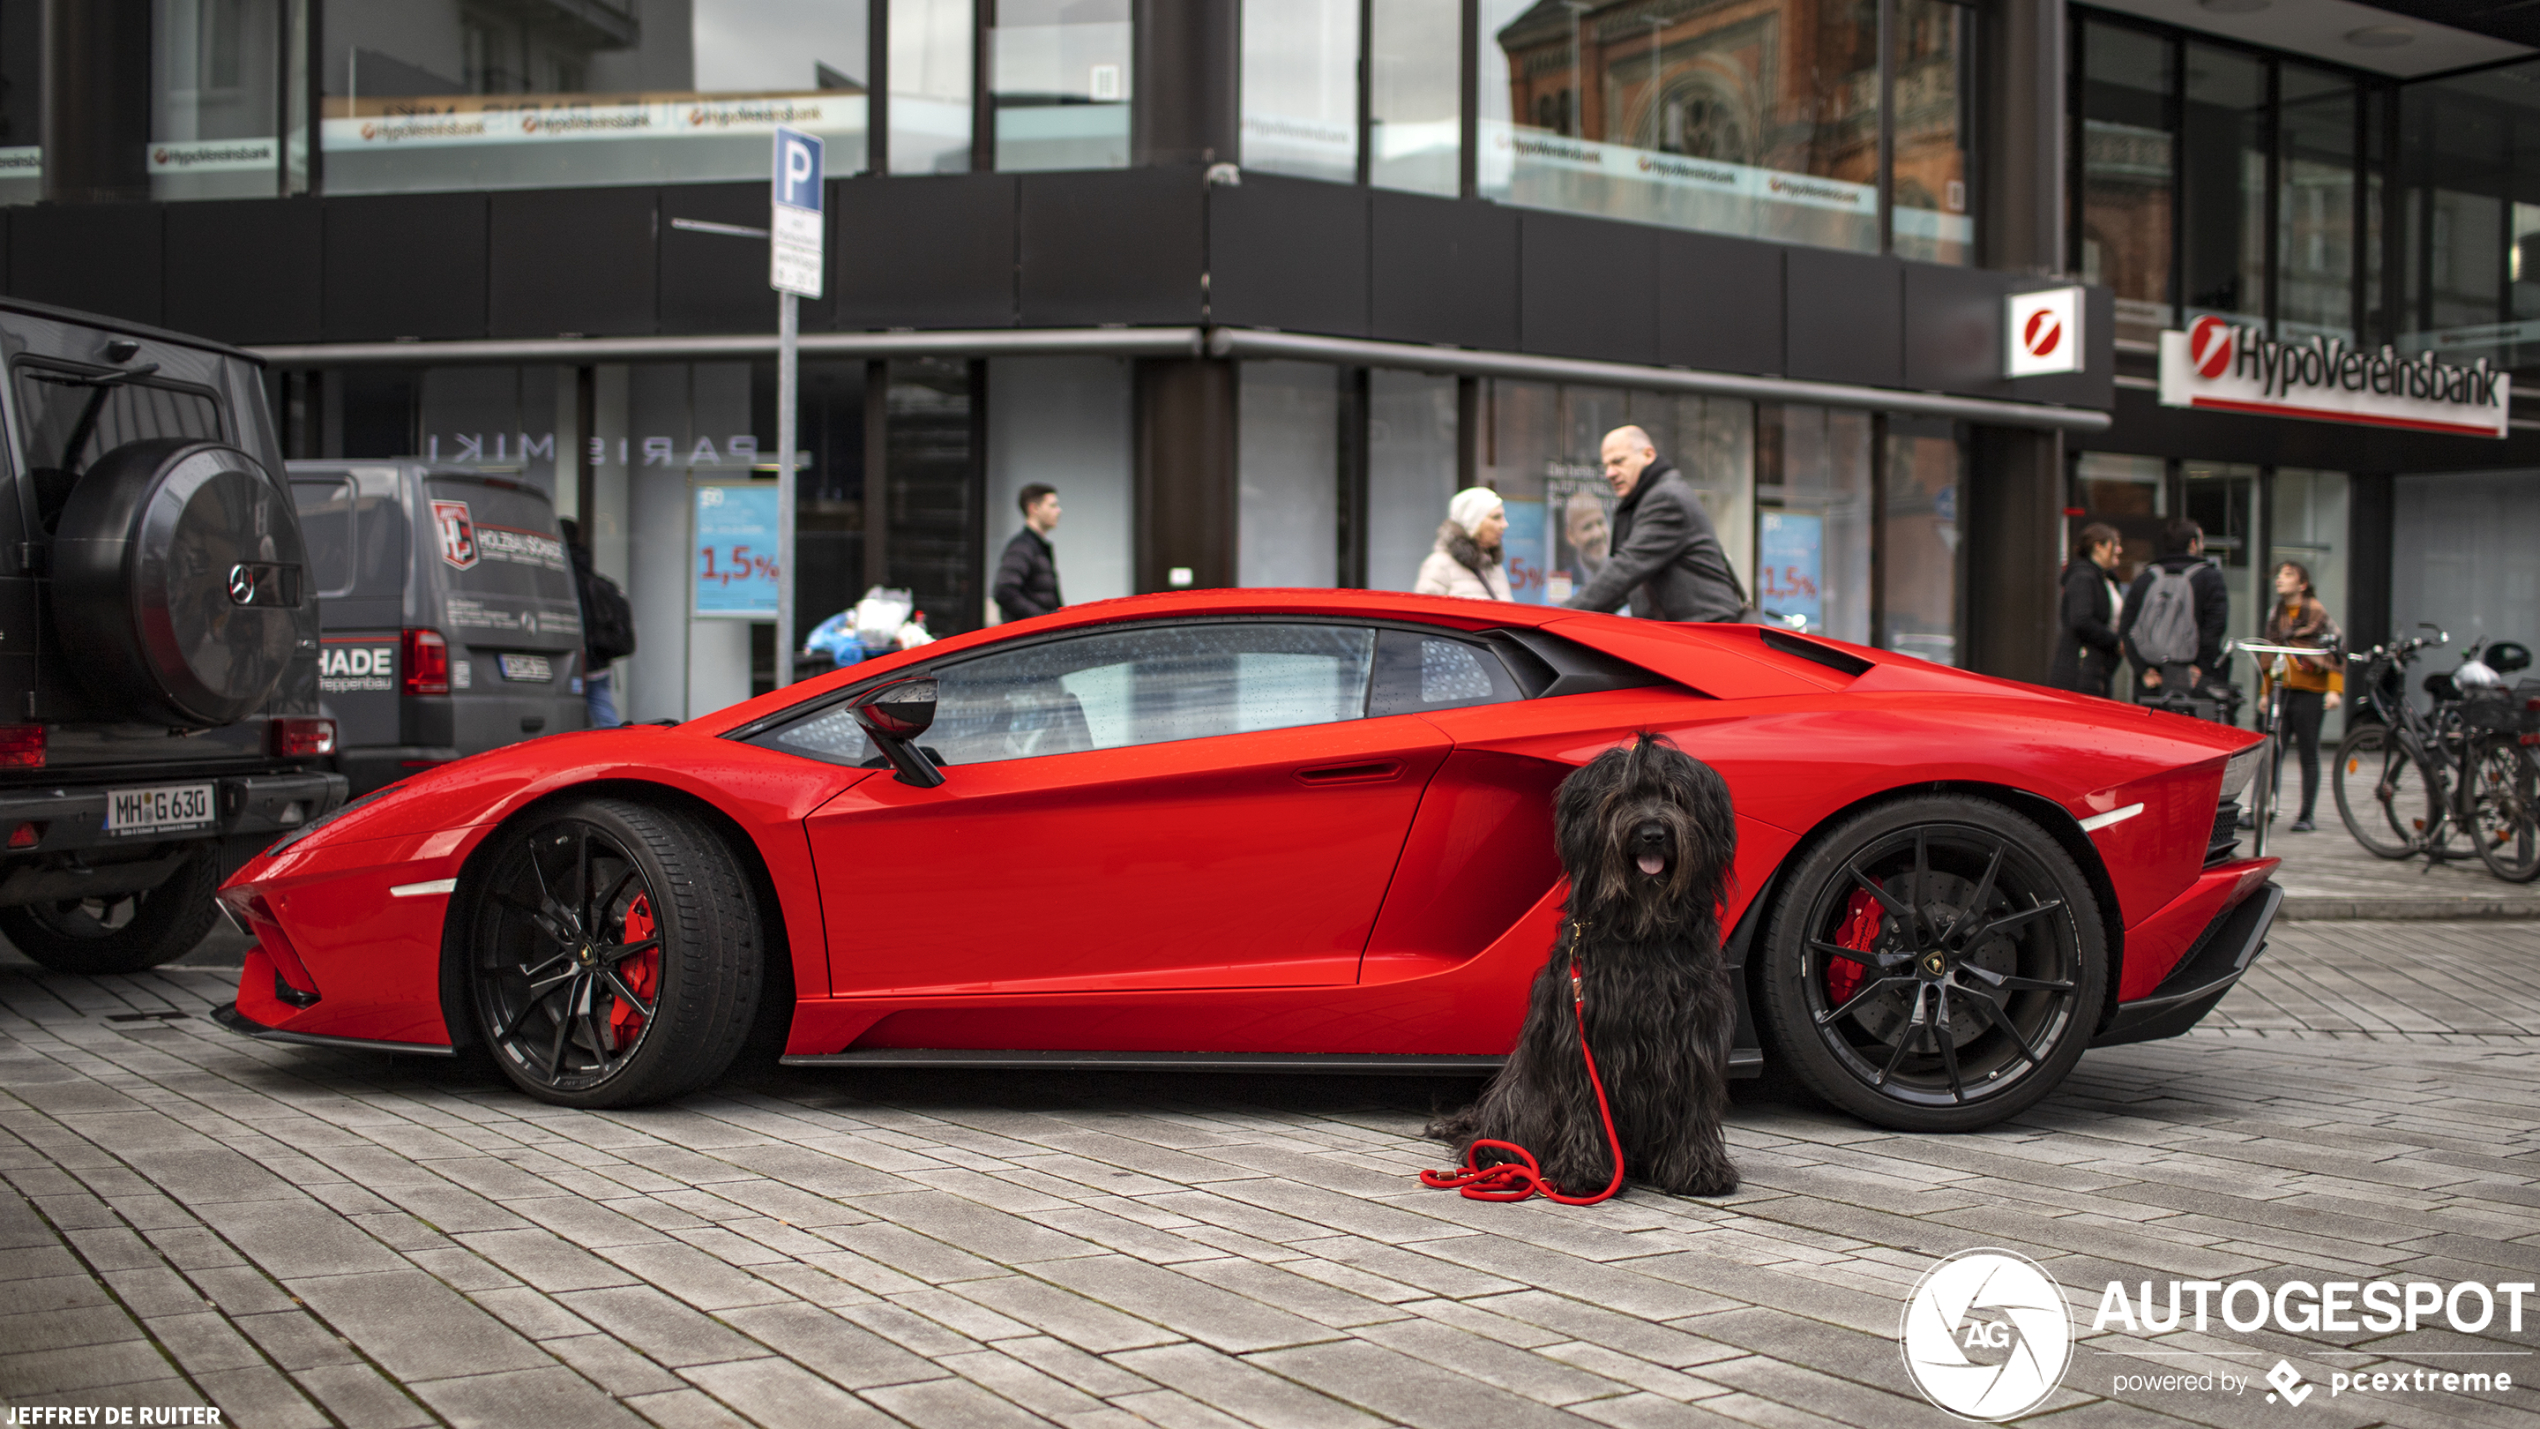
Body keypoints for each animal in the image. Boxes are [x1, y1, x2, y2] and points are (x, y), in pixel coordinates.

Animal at [1432, 730, 1747, 1203]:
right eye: (1620, 799)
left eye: (1674, 796)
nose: (1652, 833)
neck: (1643, 932)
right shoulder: (1585, 1039)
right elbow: (1586, 1103)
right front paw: (1585, 1174)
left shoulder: (1694, 1031)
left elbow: (1693, 1099)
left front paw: (1700, 1170)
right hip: (1519, 1098)